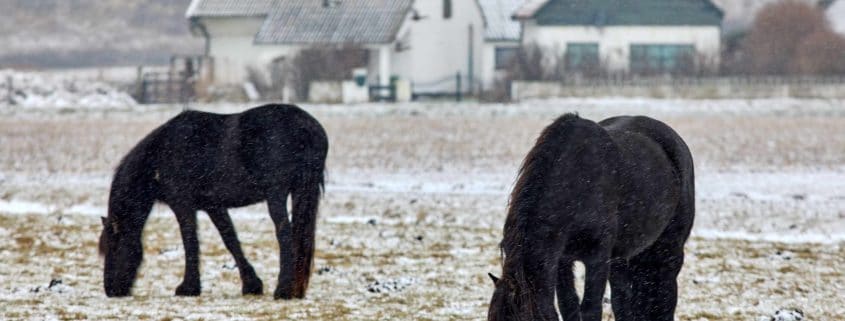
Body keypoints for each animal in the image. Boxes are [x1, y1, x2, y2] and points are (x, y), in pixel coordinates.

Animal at [96, 104, 326, 298]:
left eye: (113, 246)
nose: (110, 290)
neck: (160, 155)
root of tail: (307, 126)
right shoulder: (214, 206)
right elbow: (230, 239)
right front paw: (251, 284)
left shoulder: (183, 205)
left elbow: (190, 240)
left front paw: (188, 287)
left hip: (276, 195)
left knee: (284, 234)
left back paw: (283, 290)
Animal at [488, 113, 692, 320]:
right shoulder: (562, 259)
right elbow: (568, 304)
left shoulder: (598, 257)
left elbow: (590, 308)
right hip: (624, 259)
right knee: (623, 300)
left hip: (669, 251)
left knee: (665, 299)